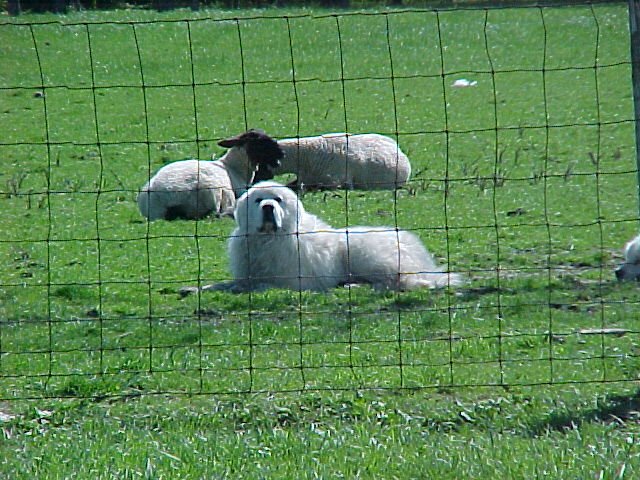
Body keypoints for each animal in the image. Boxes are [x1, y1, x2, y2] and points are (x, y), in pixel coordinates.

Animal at [181, 180, 460, 292]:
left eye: (277, 199)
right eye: (259, 200)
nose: (268, 207)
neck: (269, 239)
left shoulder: (289, 282)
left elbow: (253, 286)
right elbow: (226, 284)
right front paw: (194, 288)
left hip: (367, 256)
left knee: (395, 282)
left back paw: (353, 285)